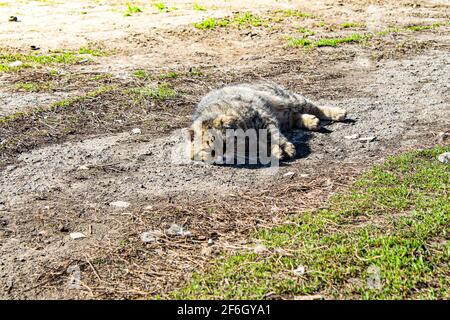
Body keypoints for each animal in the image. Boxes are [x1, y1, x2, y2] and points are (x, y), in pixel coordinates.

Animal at [188, 81, 346, 164]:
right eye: (211, 152)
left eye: (226, 143)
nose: (223, 157)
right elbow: (266, 143)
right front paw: (277, 151)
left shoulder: (263, 118)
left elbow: (276, 137)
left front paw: (286, 148)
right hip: (286, 117)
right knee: (295, 117)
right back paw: (311, 121)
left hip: (290, 100)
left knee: (315, 107)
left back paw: (337, 113)